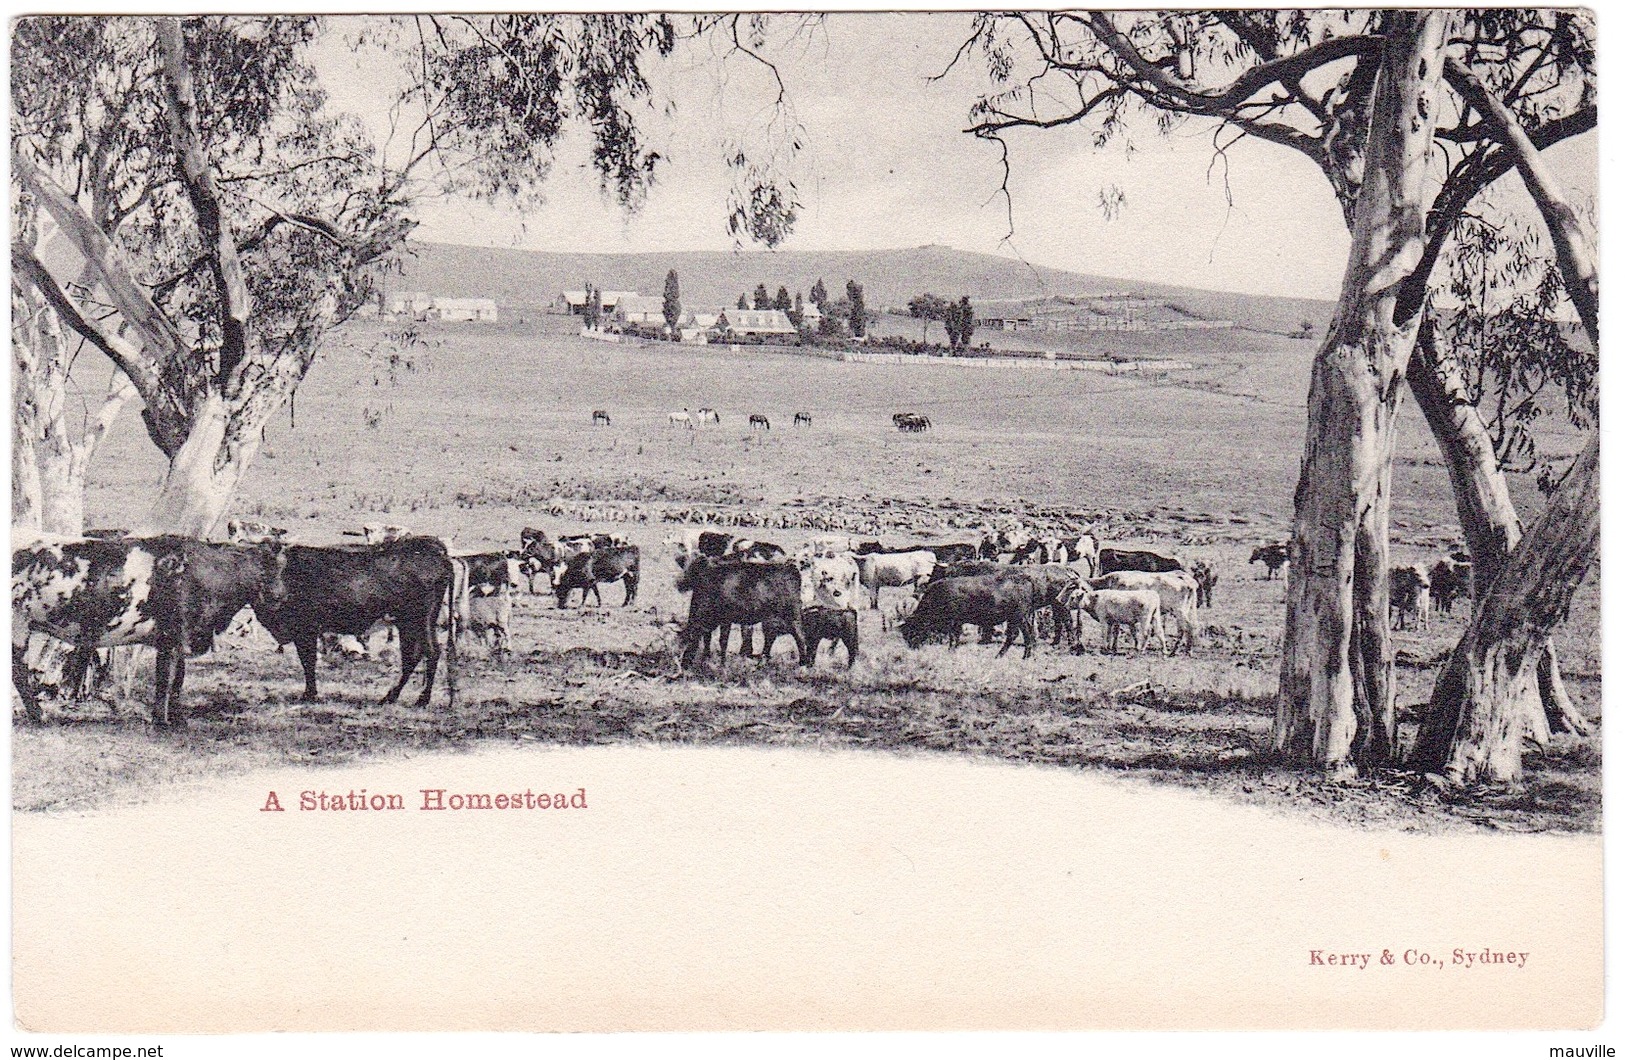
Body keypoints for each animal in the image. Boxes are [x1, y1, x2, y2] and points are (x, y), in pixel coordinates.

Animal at [11, 539, 286, 728]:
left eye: (281, 568)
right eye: (264, 568)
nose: (280, 596)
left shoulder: (177, 640)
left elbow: (178, 679)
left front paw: (178, 719)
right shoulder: (172, 636)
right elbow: (166, 680)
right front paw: (161, 721)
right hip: (18, 625)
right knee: (19, 673)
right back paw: (40, 716)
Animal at [253, 543, 458, 708]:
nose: (270, 594)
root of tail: (439, 555)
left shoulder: (305, 629)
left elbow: (308, 661)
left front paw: (309, 695)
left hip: (420, 620)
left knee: (430, 652)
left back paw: (421, 700)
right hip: (408, 624)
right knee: (412, 656)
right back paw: (391, 697)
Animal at [672, 556, 806, 669]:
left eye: (687, 640)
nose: (683, 664)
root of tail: (790, 568)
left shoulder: (725, 619)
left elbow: (723, 641)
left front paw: (722, 665)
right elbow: (708, 640)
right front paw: (706, 660)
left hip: (792, 615)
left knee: (800, 636)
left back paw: (803, 664)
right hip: (772, 619)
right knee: (771, 637)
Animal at [903, 575, 1040, 656]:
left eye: (913, 629)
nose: (912, 647)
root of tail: (1025, 579)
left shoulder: (954, 622)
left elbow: (954, 637)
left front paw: (950, 651)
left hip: (1019, 617)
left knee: (1023, 634)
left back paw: (1019, 656)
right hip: (1017, 618)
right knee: (1020, 634)